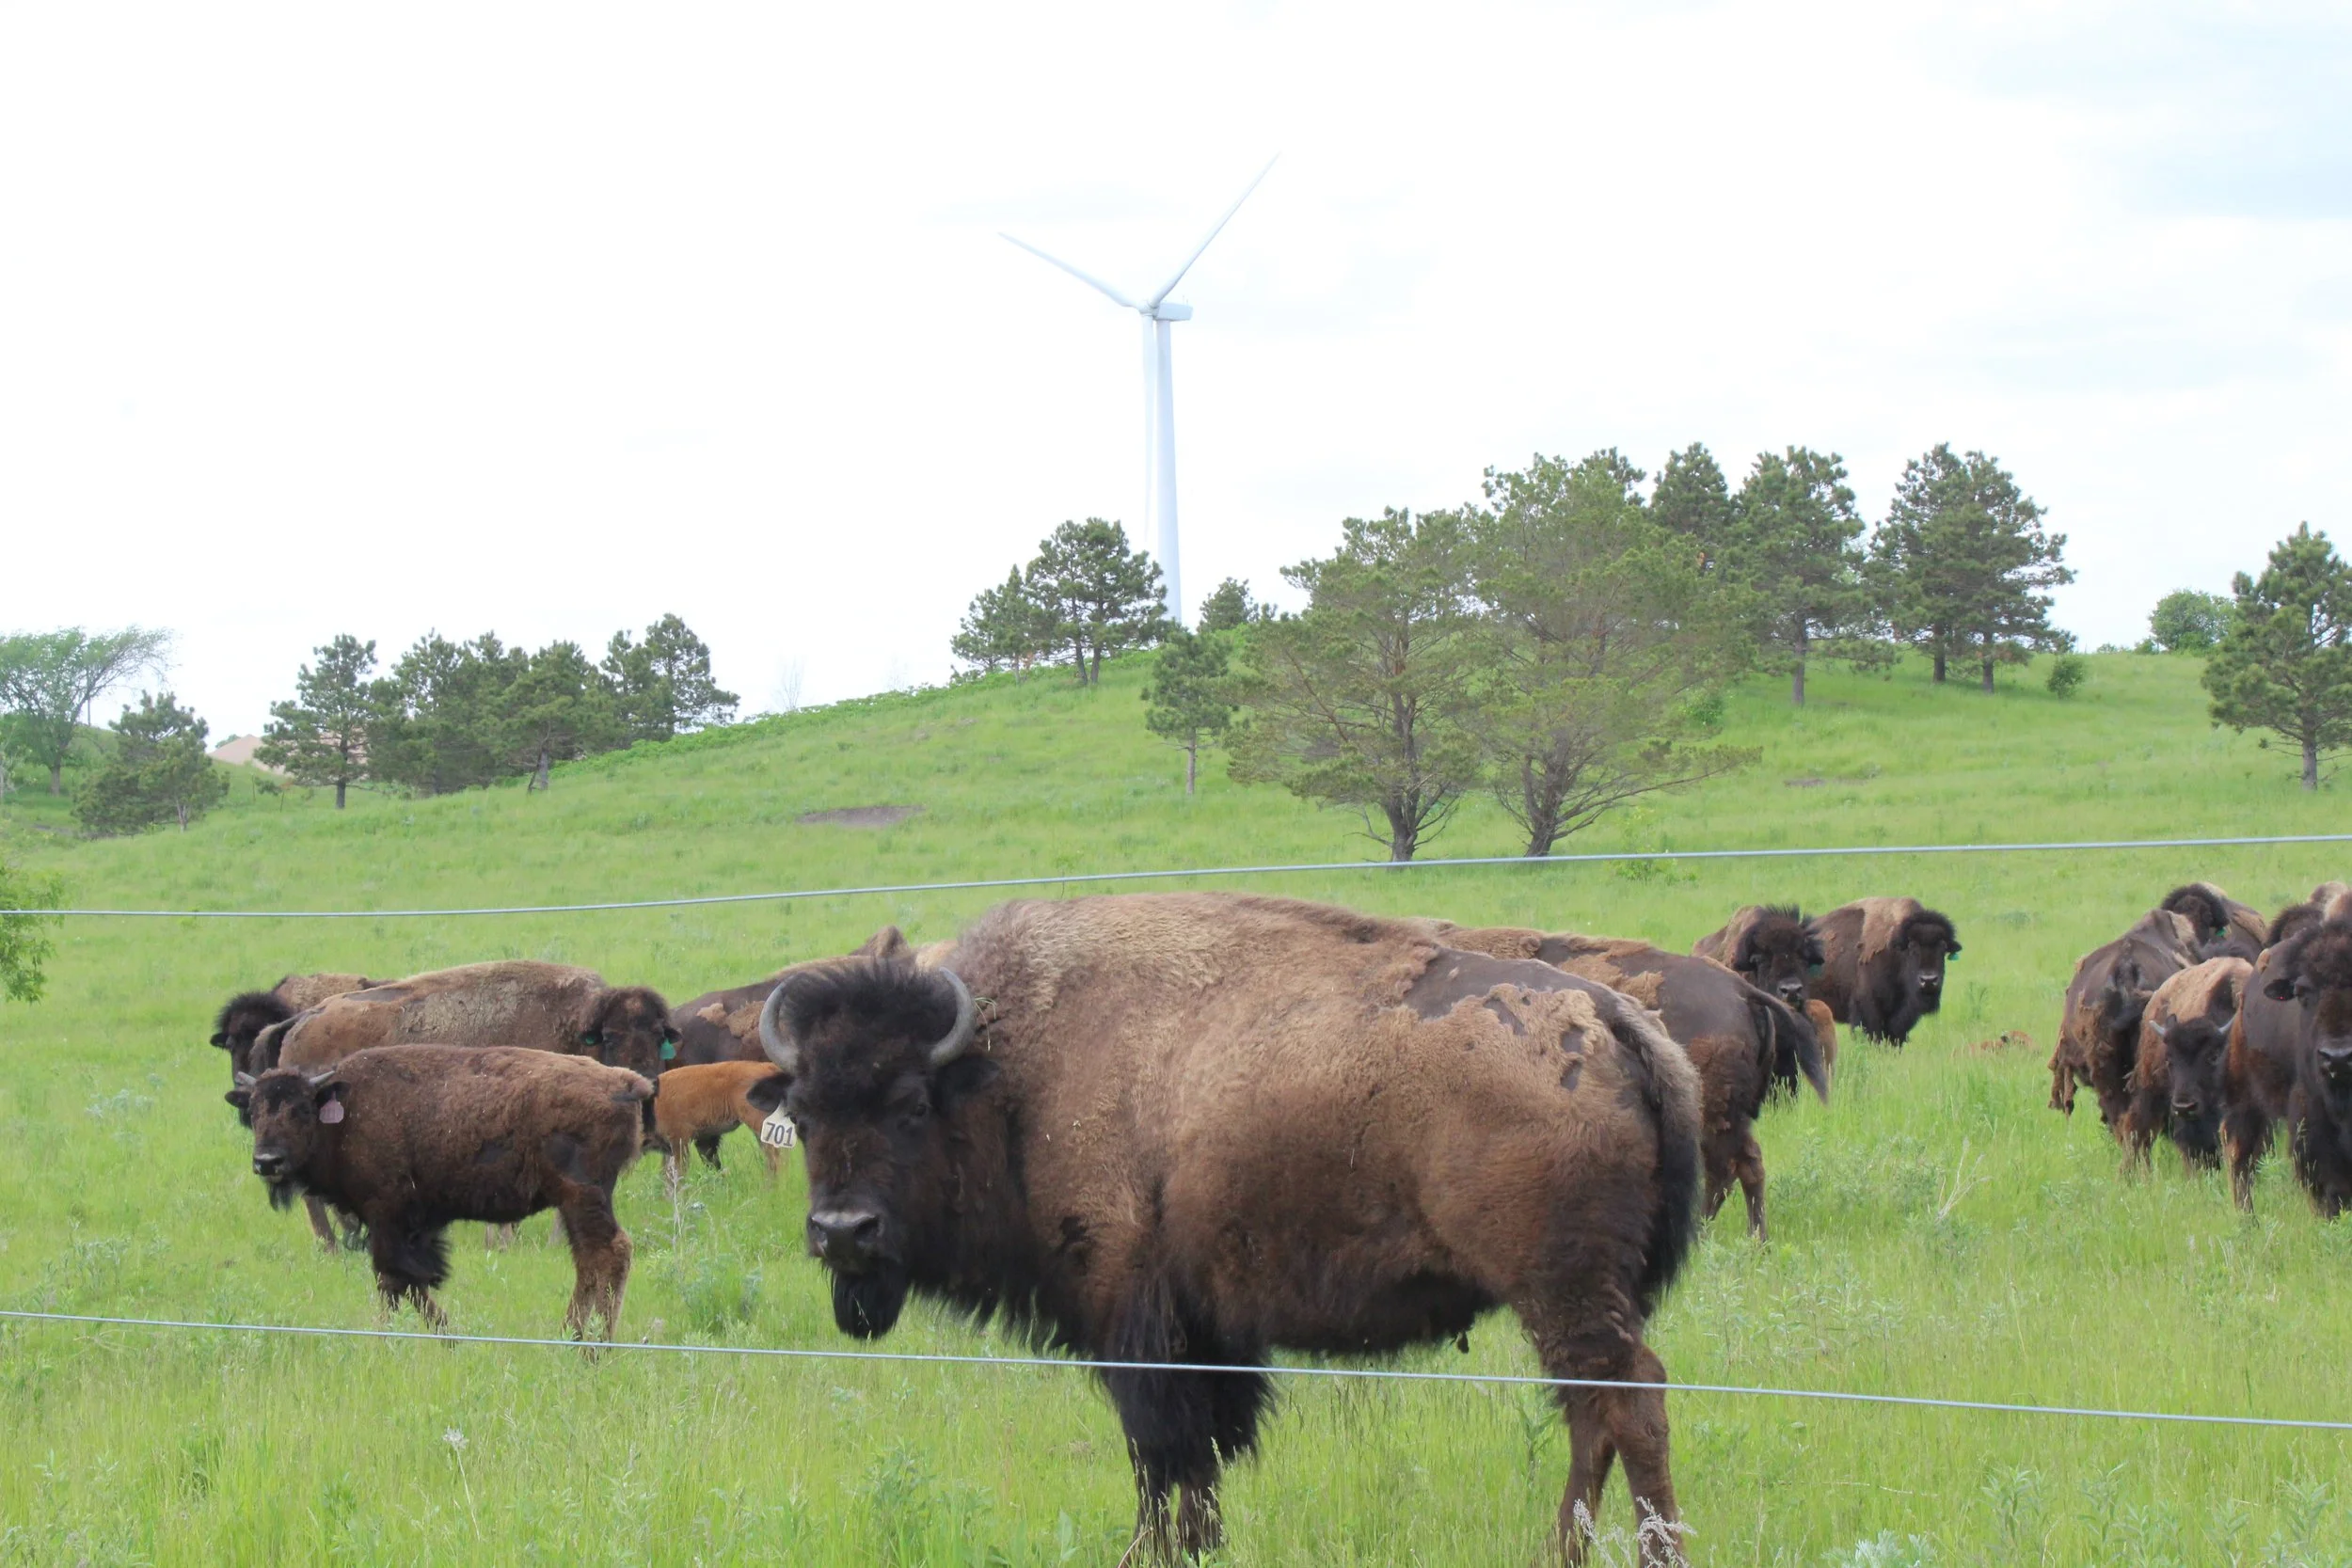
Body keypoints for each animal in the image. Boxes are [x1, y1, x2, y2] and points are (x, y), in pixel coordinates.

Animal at [228, 1046, 650, 1338]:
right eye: (254, 1109)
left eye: (300, 1109)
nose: (267, 1161)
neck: (345, 1113)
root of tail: (624, 1083)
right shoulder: (414, 1225)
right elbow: (412, 1284)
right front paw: (450, 1338)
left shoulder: (386, 1216)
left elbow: (392, 1279)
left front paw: (384, 1341)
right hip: (573, 1202)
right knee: (589, 1262)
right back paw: (570, 1339)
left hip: (582, 1196)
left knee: (609, 1254)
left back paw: (591, 1348)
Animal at [745, 893, 1702, 1562]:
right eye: (804, 1111)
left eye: (911, 1104)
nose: (843, 1231)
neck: (1010, 1070)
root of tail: (1614, 1020)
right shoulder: (1205, 1330)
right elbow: (1201, 1457)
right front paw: (1202, 1546)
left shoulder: (1132, 1319)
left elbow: (1160, 1454)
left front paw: (1146, 1552)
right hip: (1582, 1298)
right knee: (1592, 1412)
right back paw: (1561, 1552)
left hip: (1562, 1289)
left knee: (1630, 1400)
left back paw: (1653, 1553)